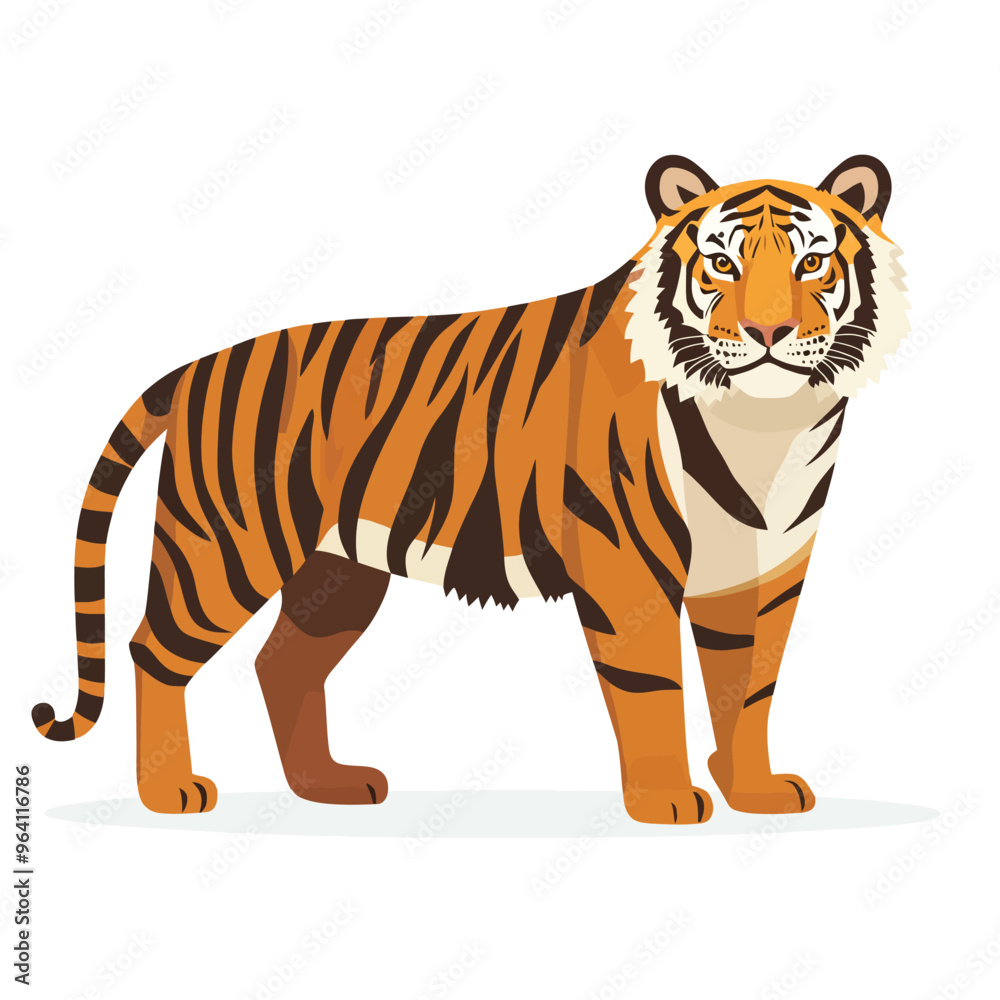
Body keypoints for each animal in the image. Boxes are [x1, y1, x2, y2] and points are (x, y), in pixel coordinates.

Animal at [33, 154, 908, 823]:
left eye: (810, 262)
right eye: (722, 263)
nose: (768, 333)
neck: (765, 423)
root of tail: (195, 367)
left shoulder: (762, 570)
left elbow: (750, 687)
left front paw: (754, 791)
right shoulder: (628, 568)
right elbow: (654, 687)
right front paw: (666, 801)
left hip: (335, 571)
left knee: (283, 664)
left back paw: (329, 785)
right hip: (225, 547)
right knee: (153, 649)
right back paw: (169, 791)